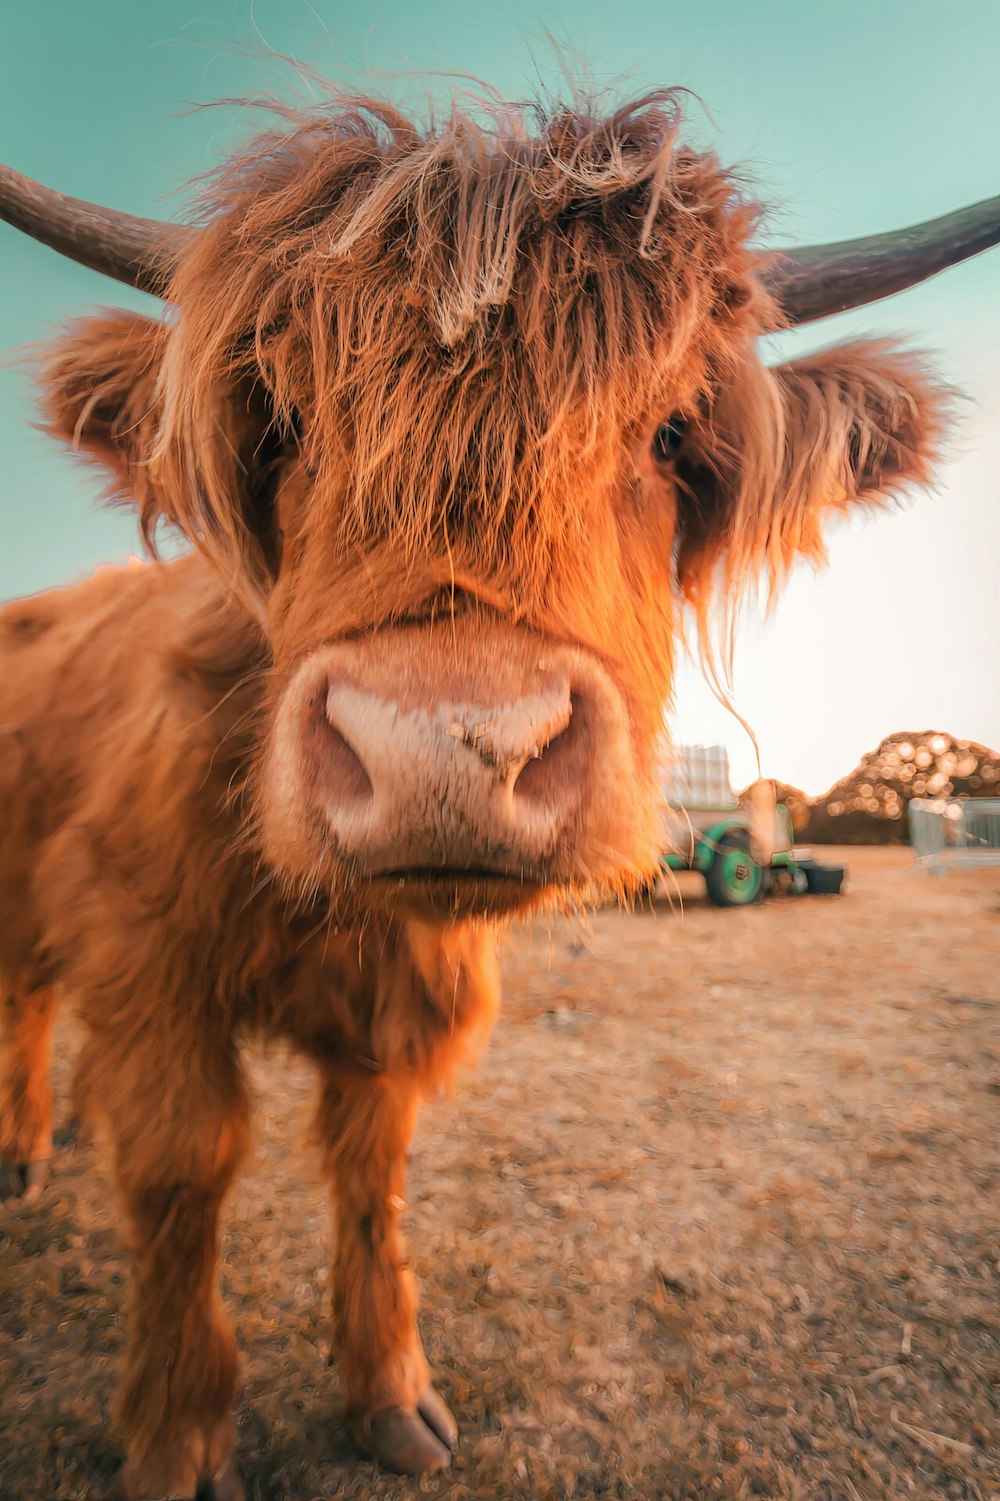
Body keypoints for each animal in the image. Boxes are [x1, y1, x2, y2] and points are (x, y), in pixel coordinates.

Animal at [1, 87, 996, 1494]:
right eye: (278, 424)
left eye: (672, 435)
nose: (445, 750)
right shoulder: (147, 953)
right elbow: (184, 1175)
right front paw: (180, 1431)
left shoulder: (397, 1008)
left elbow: (372, 1175)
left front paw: (388, 1392)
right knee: (24, 1001)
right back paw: (26, 1152)